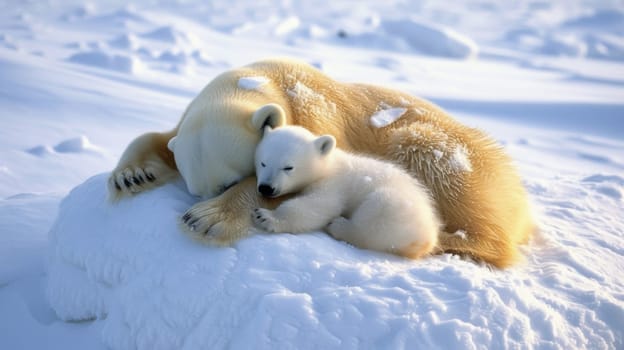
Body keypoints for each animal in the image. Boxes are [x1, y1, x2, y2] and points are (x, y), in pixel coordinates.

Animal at [251, 124, 442, 258]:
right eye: (263, 163)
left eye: (288, 167)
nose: (266, 188)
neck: (327, 165)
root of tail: (428, 237)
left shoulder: (333, 183)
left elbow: (318, 205)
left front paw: (266, 216)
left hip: (398, 207)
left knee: (376, 215)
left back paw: (339, 226)